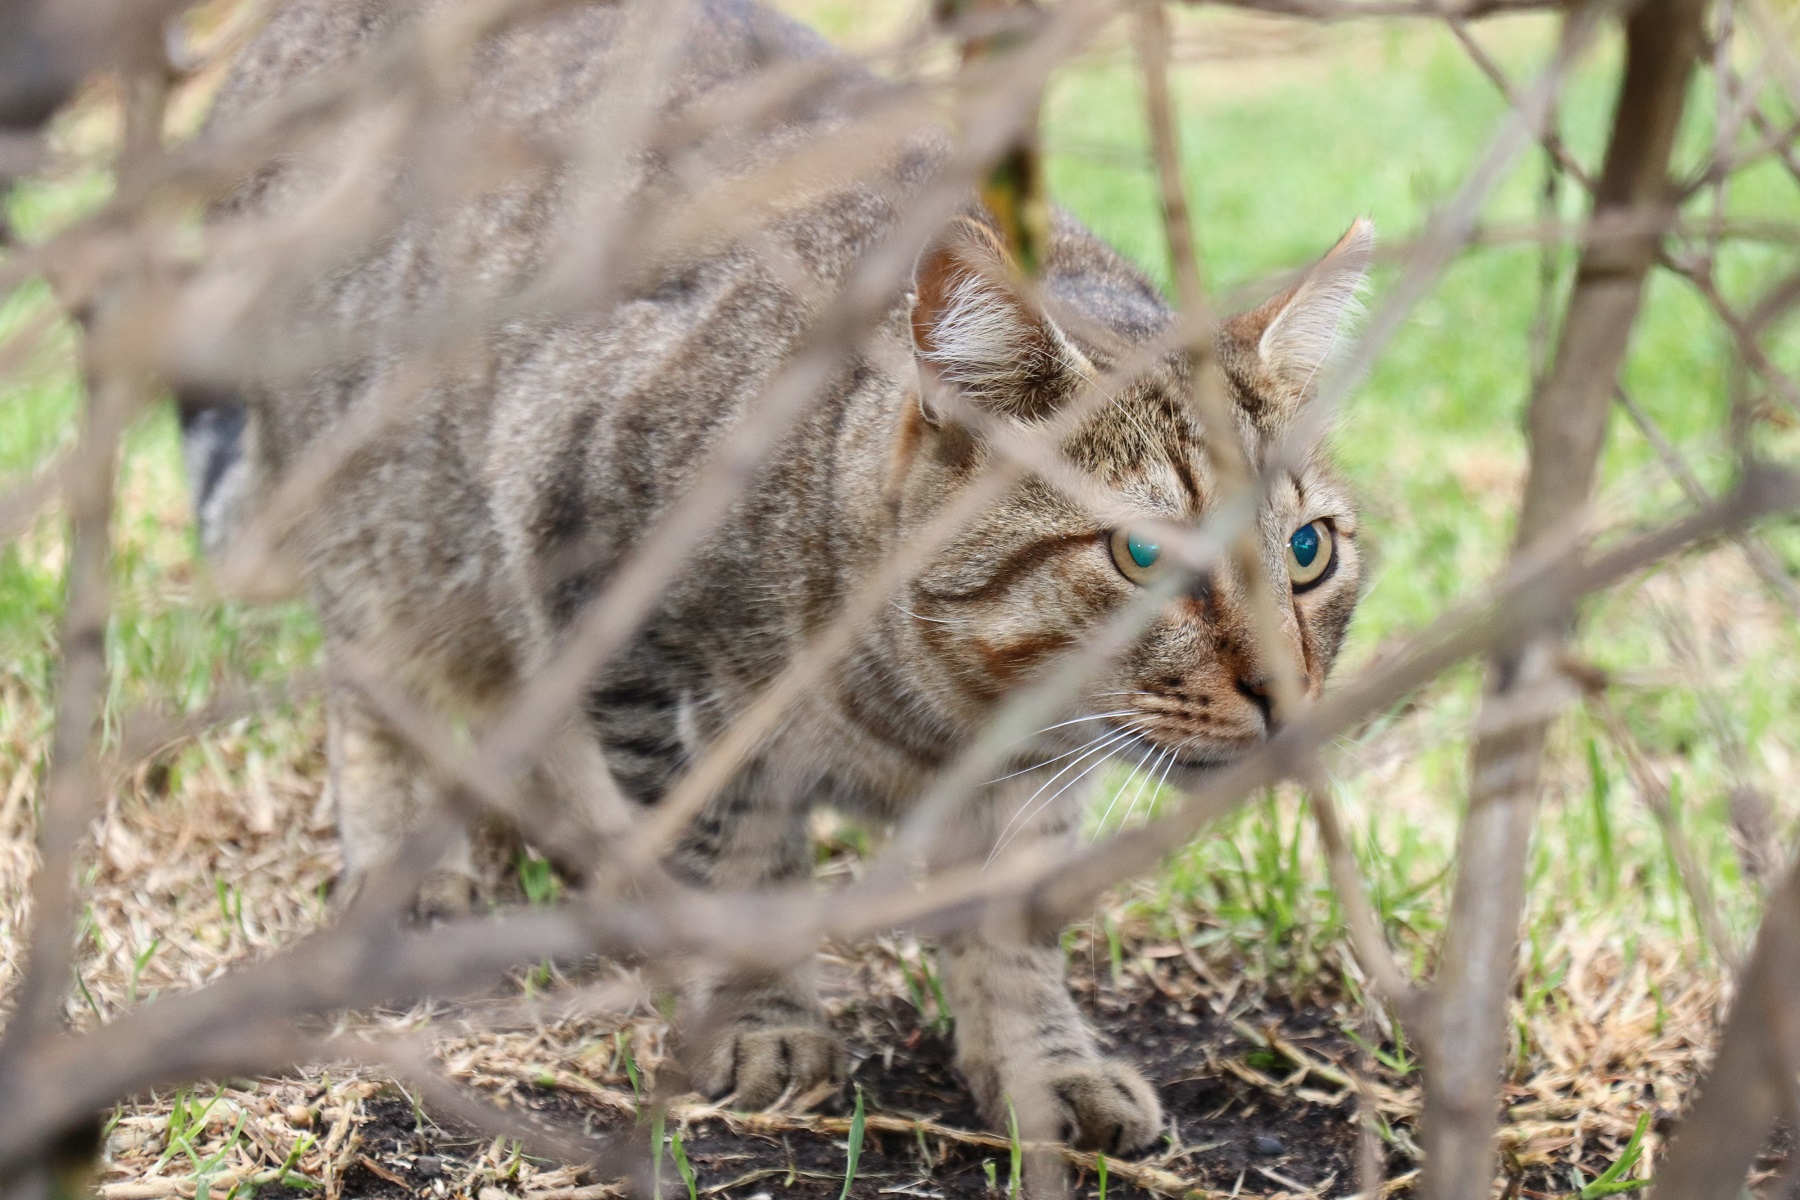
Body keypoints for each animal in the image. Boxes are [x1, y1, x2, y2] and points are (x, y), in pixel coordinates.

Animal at [179, 0, 1360, 1158]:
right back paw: (411, 866)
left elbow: (1009, 930)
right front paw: (763, 1018)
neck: (942, 714)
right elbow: (738, 869)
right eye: (1143, 555)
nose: (1284, 689)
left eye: (1310, 554)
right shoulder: (631, 627)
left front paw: (1042, 1065)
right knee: (378, 687)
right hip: (401, 531)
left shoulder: (1027, 789)